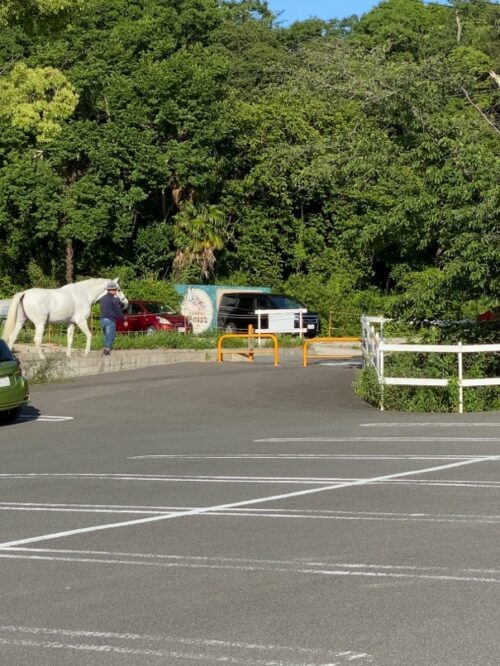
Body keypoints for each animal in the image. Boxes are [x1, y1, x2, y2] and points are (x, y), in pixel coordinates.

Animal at [0, 274, 129, 358]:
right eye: (118, 289)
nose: (125, 303)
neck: (83, 294)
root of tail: (25, 293)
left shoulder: (71, 323)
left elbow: (70, 339)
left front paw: (68, 355)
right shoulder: (81, 322)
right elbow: (89, 335)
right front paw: (86, 353)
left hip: (21, 321)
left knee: (12, 337)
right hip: (40, 324)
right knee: (37, 339)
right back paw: (42, 357)